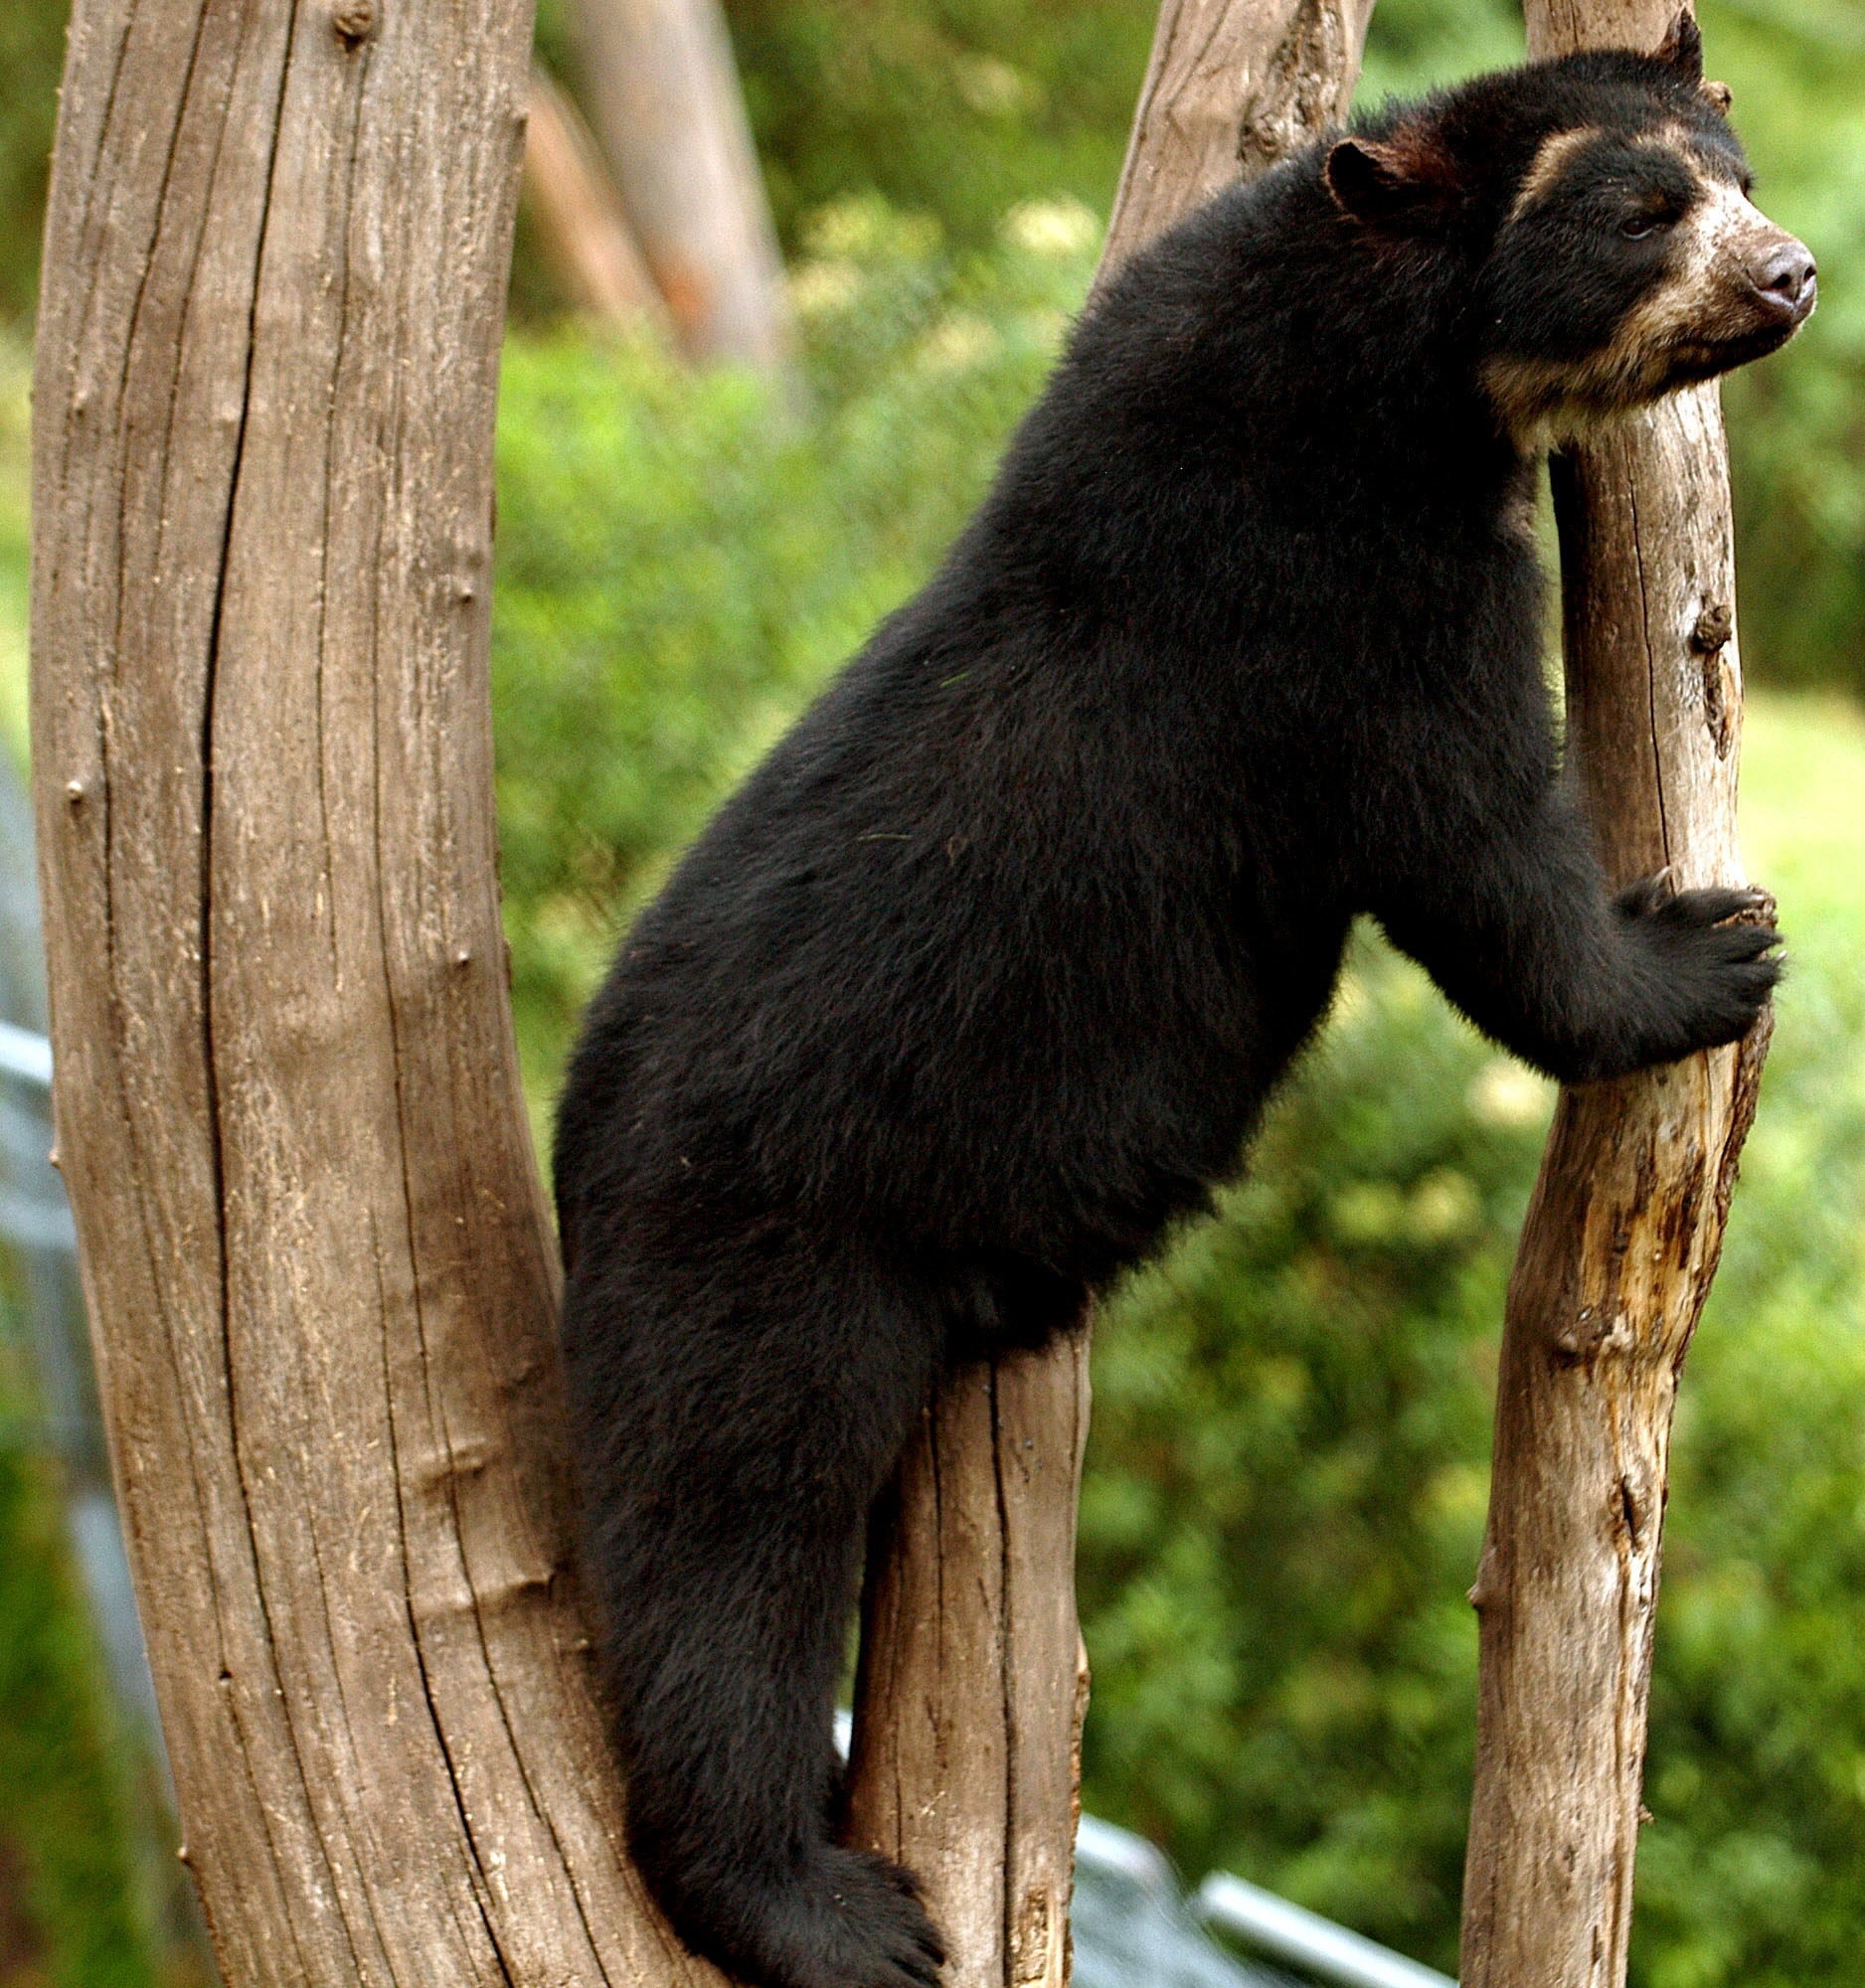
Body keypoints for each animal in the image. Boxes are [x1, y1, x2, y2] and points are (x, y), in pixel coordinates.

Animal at [549, 19, 1805, 1988]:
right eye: (1635, 209)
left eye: (1731, 173)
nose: (1791, 274)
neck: (1387, 364)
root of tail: (570, 1156)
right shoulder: (1332, 602)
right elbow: (1469, 847)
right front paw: (1711, 947)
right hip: (762, 1255)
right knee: (726, 1543)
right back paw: (831, 1910)